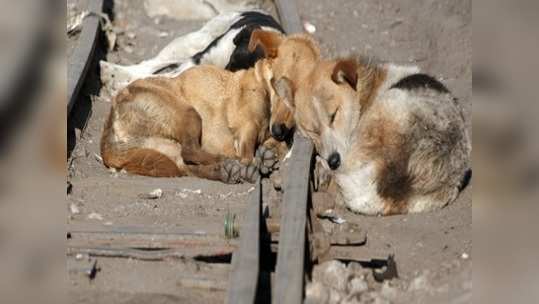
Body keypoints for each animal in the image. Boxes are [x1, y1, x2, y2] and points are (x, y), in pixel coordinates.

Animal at [100, 10, 282, 96]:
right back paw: (110, 70)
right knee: (150, 64)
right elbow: (159, 77)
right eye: (232, 61)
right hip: (187, 43)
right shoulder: (199, 58)